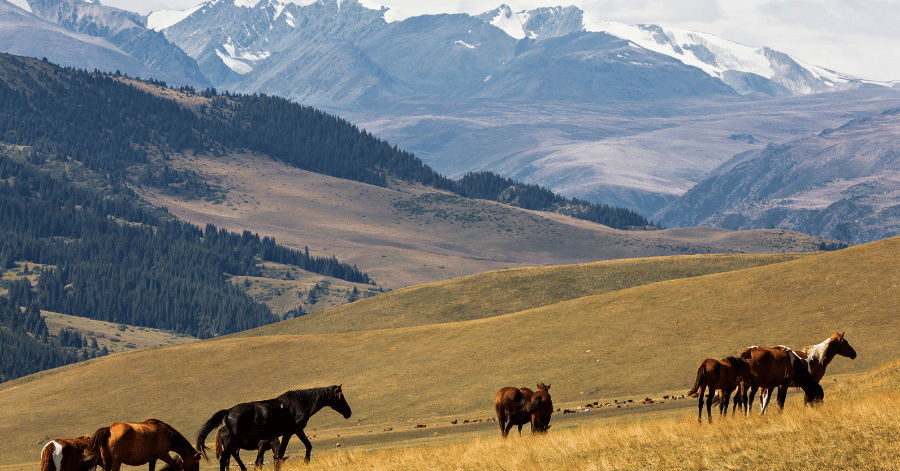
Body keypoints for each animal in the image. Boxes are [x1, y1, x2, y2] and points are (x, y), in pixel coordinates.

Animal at [196, 385, 351, 469]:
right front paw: (306, 462)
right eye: (341, 396)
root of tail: (228, 411)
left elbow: (281, 454)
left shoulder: (290, 433)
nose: (349, 412)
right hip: (235, 441)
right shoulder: (293, 431)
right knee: (225, 458)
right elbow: (294, 450)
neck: (300, 402)